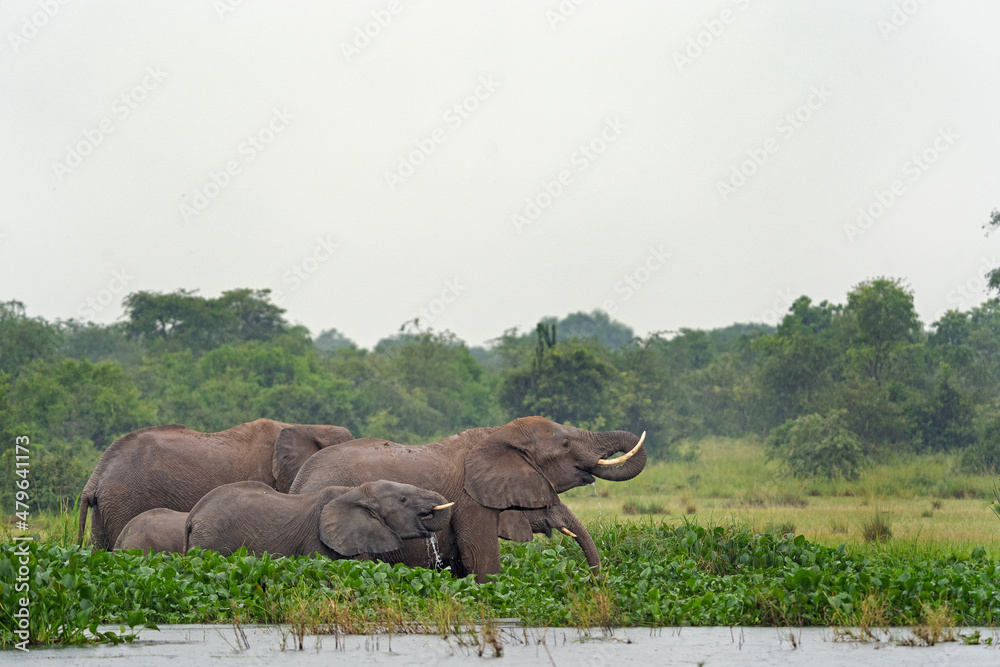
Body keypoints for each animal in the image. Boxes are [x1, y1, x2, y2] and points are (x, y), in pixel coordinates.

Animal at [289, 416, 646, 582]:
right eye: (566, 445)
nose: (596, 583)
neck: (498, 434)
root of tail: (297, 484)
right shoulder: (470, 499)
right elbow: (480, 559)